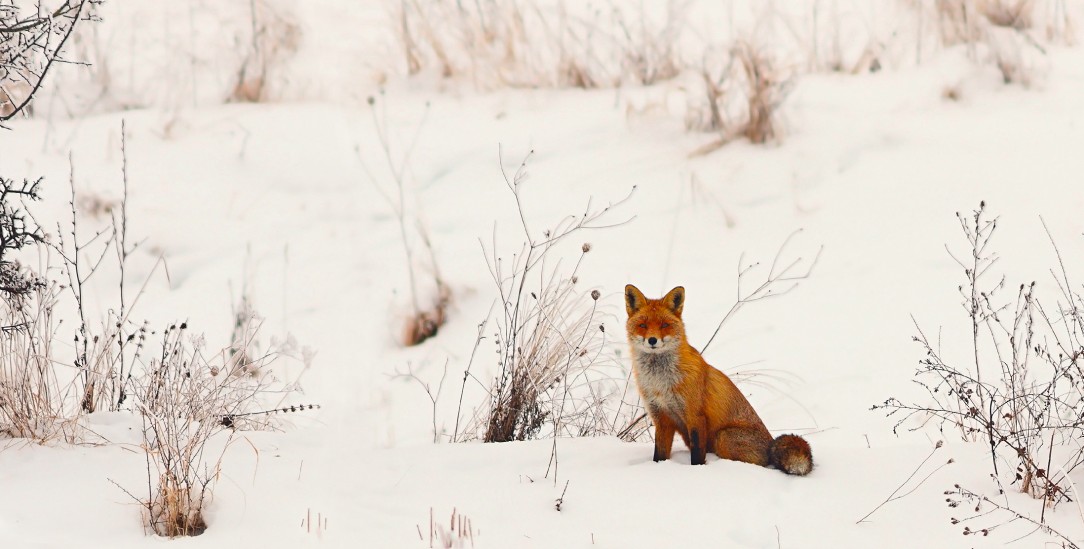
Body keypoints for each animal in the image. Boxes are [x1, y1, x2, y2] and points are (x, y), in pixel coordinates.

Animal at [624, 284, 810, 473]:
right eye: (642, 325)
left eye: (664, 325)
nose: (652, 340)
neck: (660, 383)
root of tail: (770, 444)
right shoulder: (662, 419)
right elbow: (659, 455)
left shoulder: (695, 416)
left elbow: (697, 455)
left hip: (723, 437)